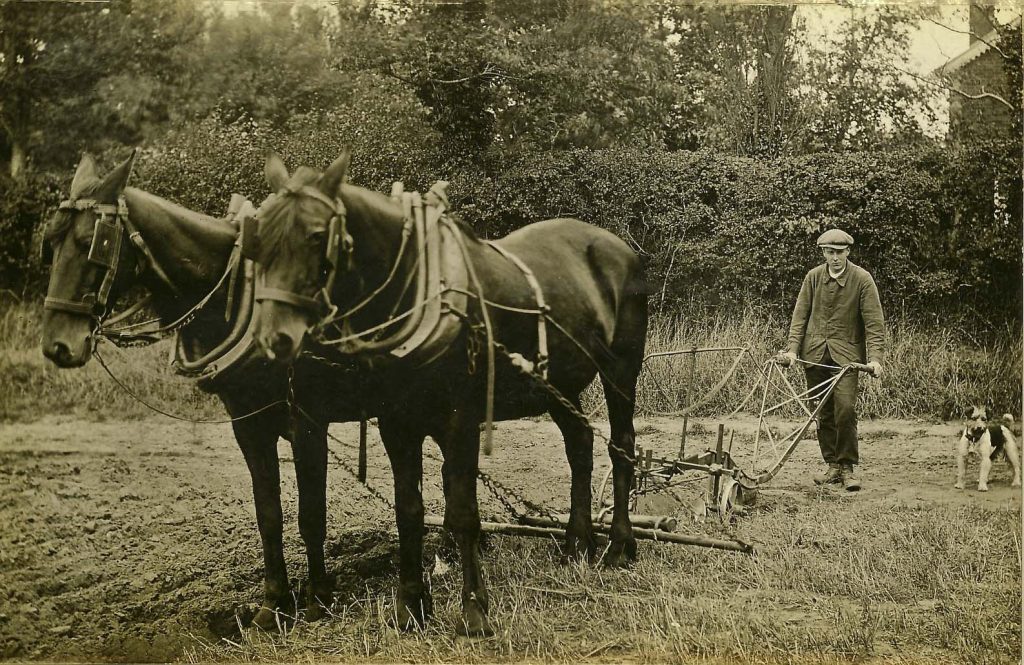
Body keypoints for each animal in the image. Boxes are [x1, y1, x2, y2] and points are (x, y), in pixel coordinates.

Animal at [39, 151, 378, 631]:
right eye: (50, 244)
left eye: (94, 243)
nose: (57, 346)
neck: (239, 300)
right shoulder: (247, 423)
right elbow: (268, 513)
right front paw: (274, 604)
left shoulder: (307, 421)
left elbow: (311, 512)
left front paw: (318, 601)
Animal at [247, 151, 649, 637]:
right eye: (257, 241)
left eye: (316, 235)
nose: (275, 338)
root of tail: (618, 247)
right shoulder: (396, 424)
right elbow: (409, 510)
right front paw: (410, 607)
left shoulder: (460, 420)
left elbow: (462, 513)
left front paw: (474, 611)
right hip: (558, 385)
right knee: (580, 445)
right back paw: (576, 544)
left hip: (621, 371)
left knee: (621, 446)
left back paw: (619, 546)